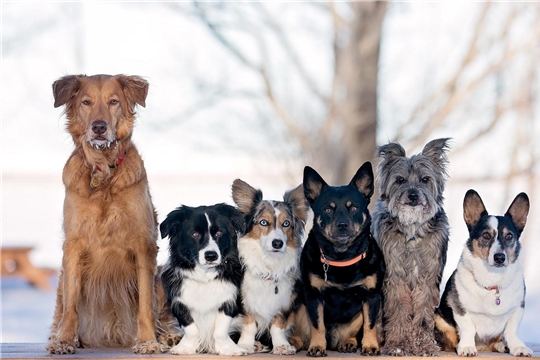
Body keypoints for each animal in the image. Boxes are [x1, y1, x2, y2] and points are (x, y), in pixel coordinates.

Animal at [158, 204, 247, 356]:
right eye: (194, 234)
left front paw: (228, 349)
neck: (205, 275)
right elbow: (190, 328)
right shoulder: (179, 302)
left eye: (219, 233)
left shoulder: (230, 301)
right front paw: (186, 348)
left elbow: (221, 330)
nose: (211, 256)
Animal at [288, 162, 386, 358]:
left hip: (357, 316)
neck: (342, 257)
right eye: (328, 209)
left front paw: (370, 346)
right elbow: (317, 325)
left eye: (353, 207)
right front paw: (317, 346)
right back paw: (295, 343)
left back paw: (348, 343)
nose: (342, 225)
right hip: (300, 307)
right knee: (301, 334)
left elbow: (370, 324)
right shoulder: (313, 295)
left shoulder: (372, 296)